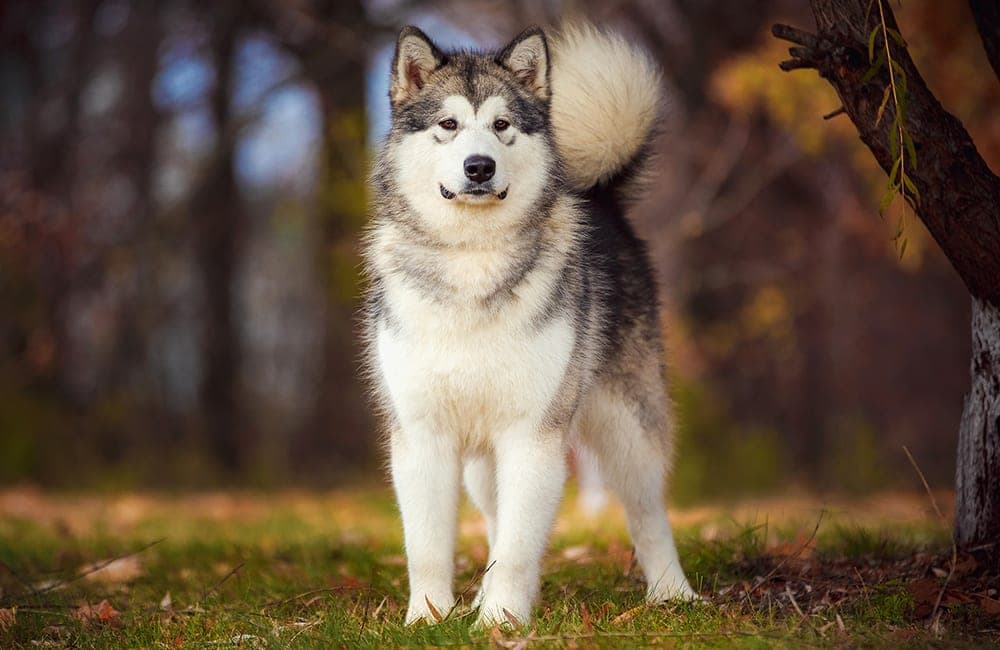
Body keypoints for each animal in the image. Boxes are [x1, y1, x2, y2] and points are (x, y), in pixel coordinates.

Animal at [360, 22, 696, 624]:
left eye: (501, 125)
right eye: (448, 124)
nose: (479, 166)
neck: (472, 261)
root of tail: (600, 196)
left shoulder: (534, 435)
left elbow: (519, 545)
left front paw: (500, 621)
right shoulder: (422, 435)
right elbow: (428, 545)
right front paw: (429, 618)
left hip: (627, 426)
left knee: (647, 513)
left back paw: (673, 593)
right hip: (480, 460)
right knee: (497, 516)